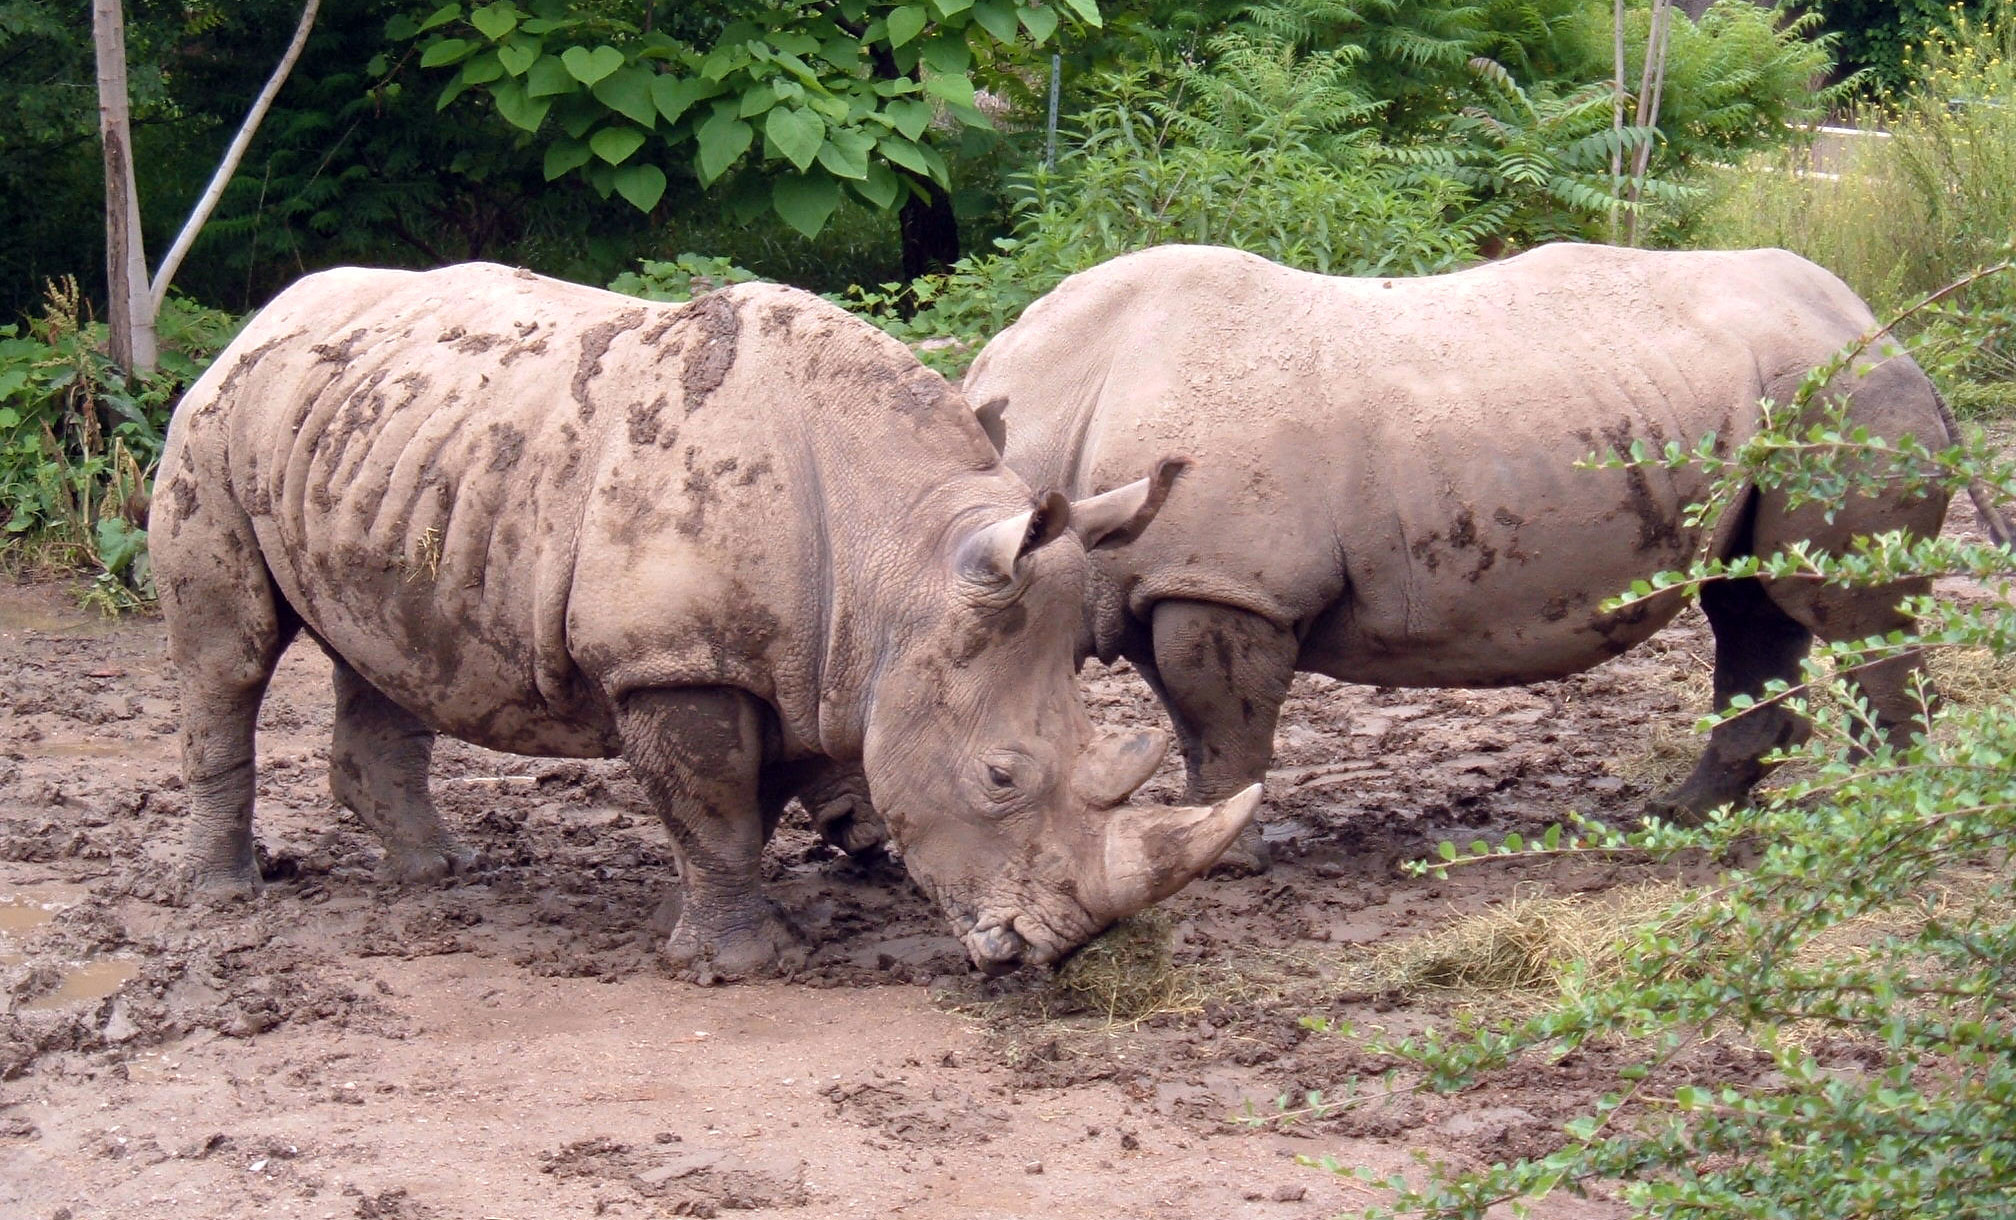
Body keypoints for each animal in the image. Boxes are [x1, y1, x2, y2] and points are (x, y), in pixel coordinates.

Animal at [150, 262, 1259, 977]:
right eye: (1000, 778)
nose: (1058, 952)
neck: (900, 557)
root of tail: (261, 318)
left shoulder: (793, 660)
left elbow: (742, 805)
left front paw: (717, 930)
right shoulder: (674, 661)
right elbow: (716, 806)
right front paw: (745, 964)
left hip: (379, 443)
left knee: (388, 655)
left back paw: (439, 873)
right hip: (213, 425)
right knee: (229, 657)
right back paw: (226, 897)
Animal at [963, 242, 1958, 870]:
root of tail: (1870, 313)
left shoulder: (1226, 586)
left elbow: (1223, 727)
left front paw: (1228, 860)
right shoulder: (1166, 585)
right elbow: (1192, 722)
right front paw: (1207, 833)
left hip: (1848, 391)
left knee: (1836, 601)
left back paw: (1888, 808)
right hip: (1784, 395)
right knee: (1749, 599)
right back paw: (1682, 814)